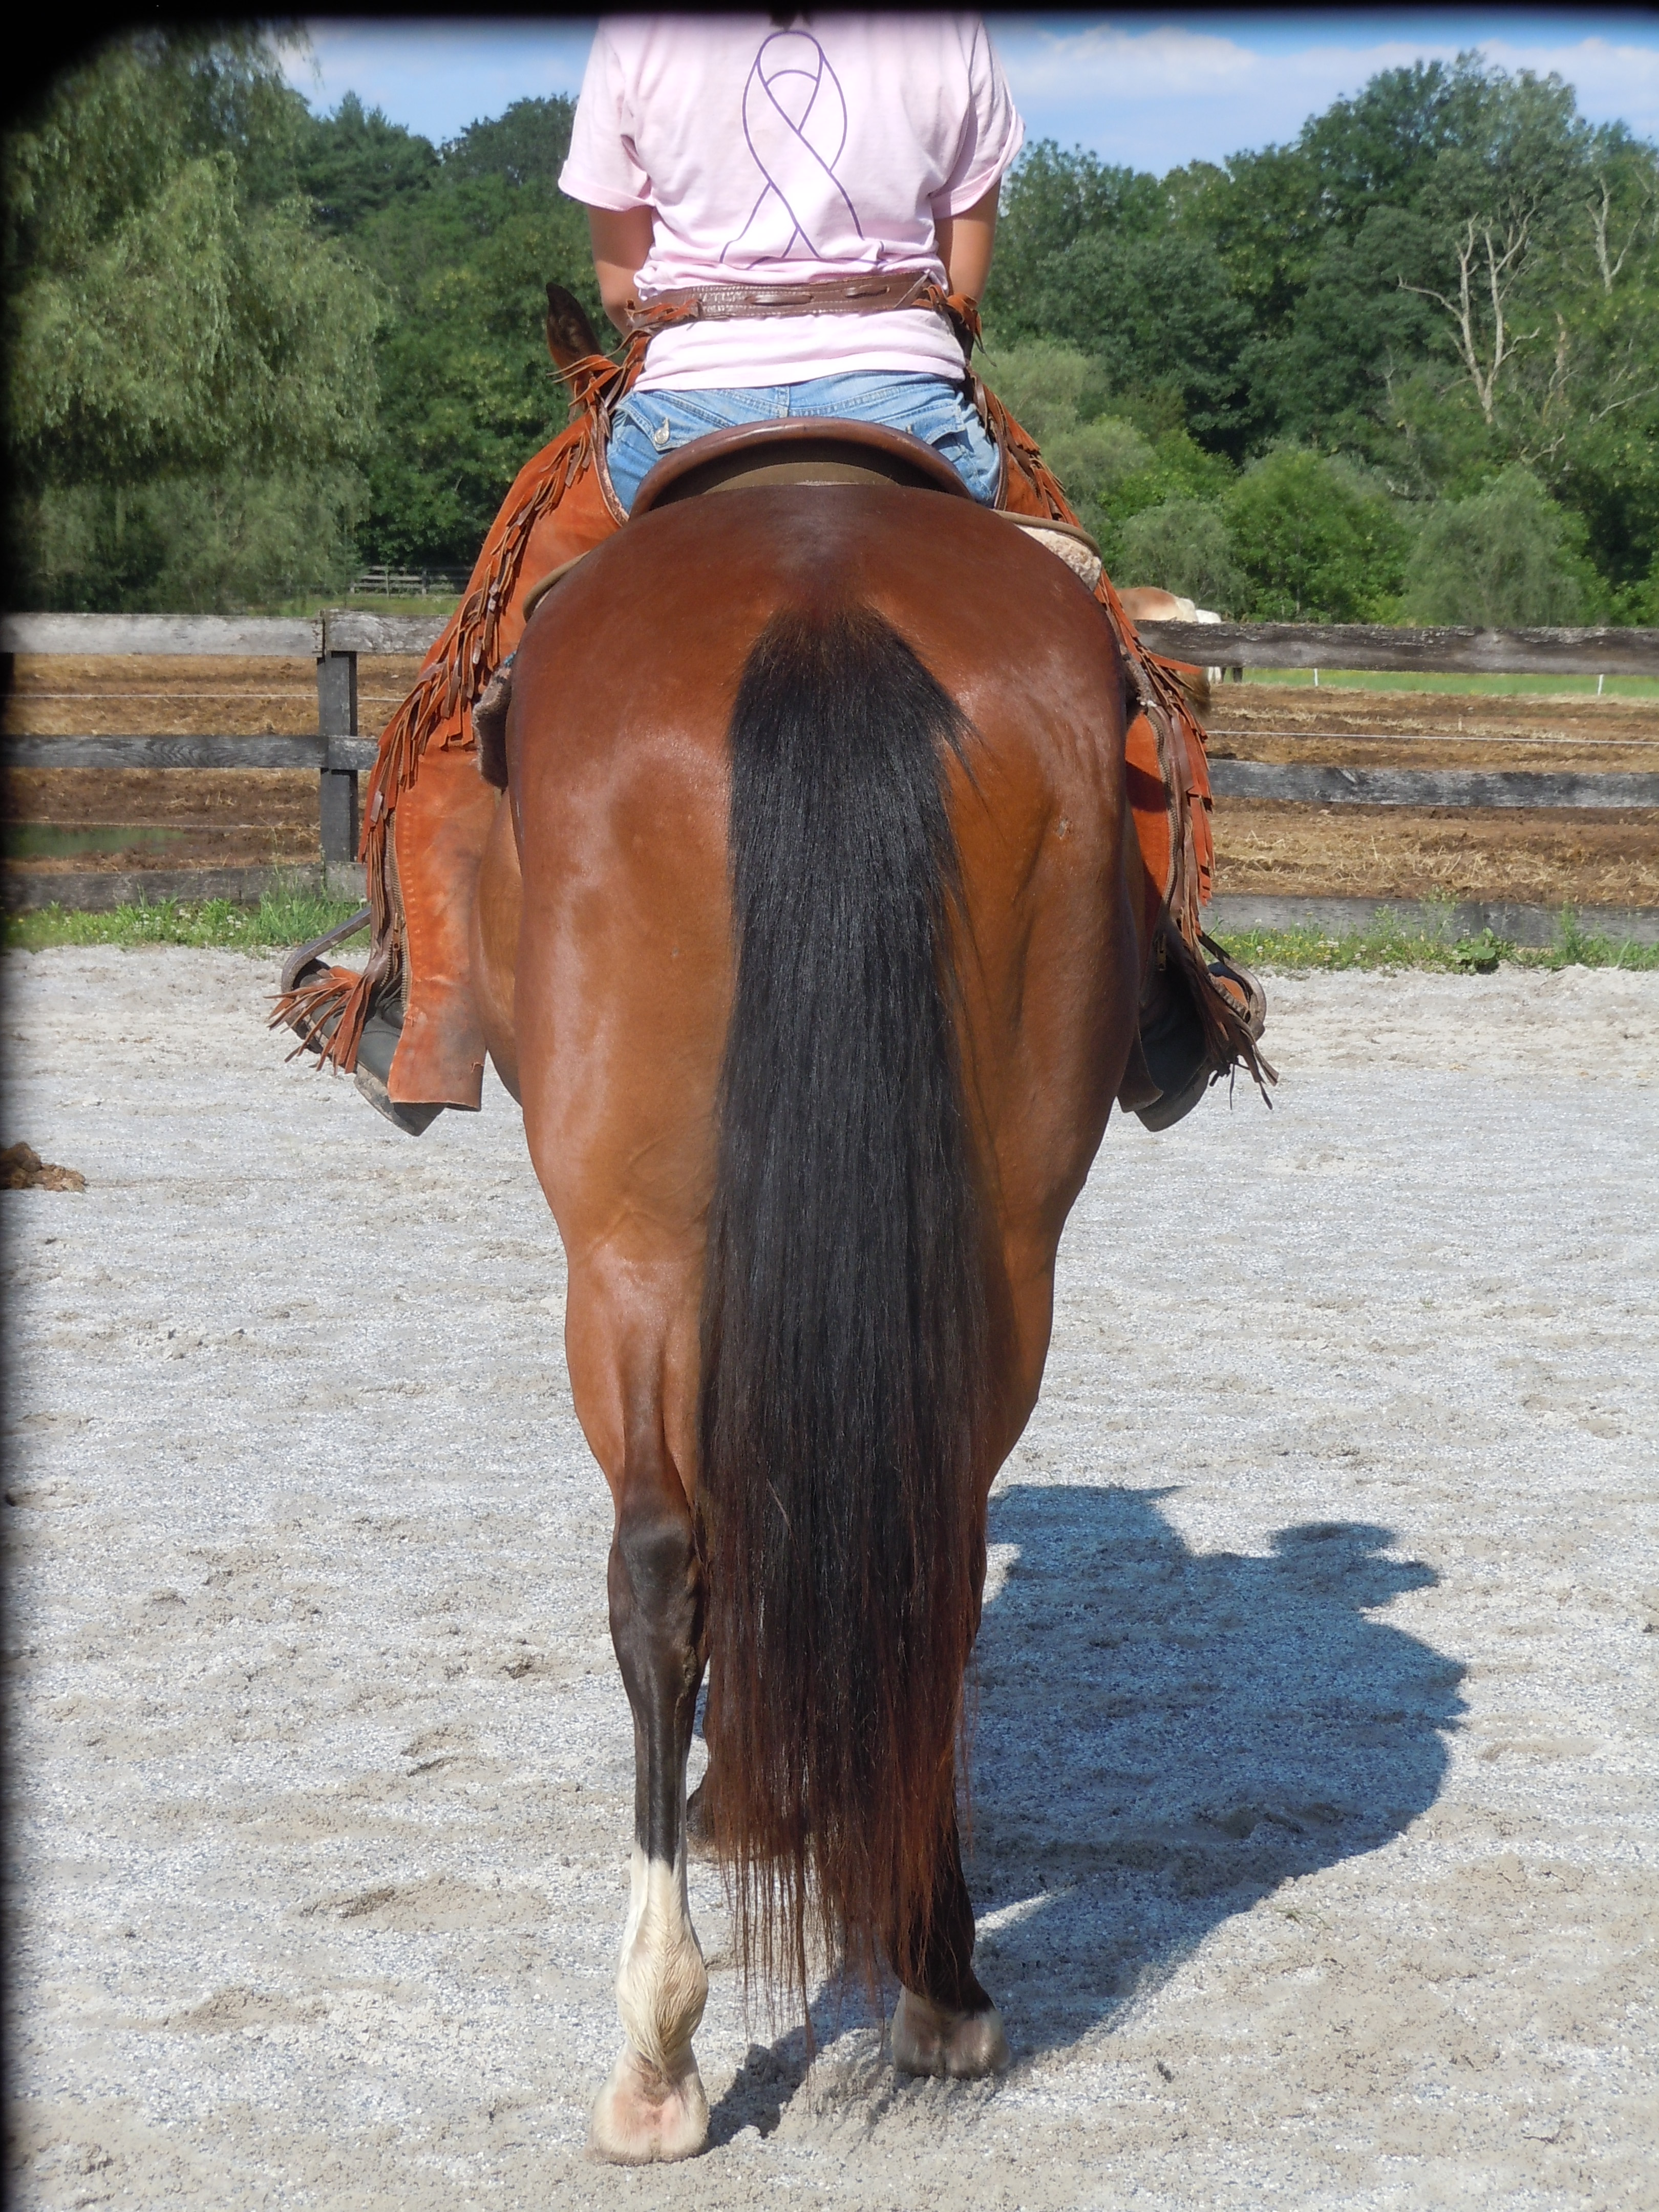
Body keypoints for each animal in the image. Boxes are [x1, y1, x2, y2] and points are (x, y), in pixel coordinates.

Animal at [468, 467, 1144, 2162]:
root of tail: (821, 596)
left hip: (629, 1244)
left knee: (659, 1564)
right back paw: (938, 1980)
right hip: (999, 1242)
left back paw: (662, 2045)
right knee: (929, 1550)